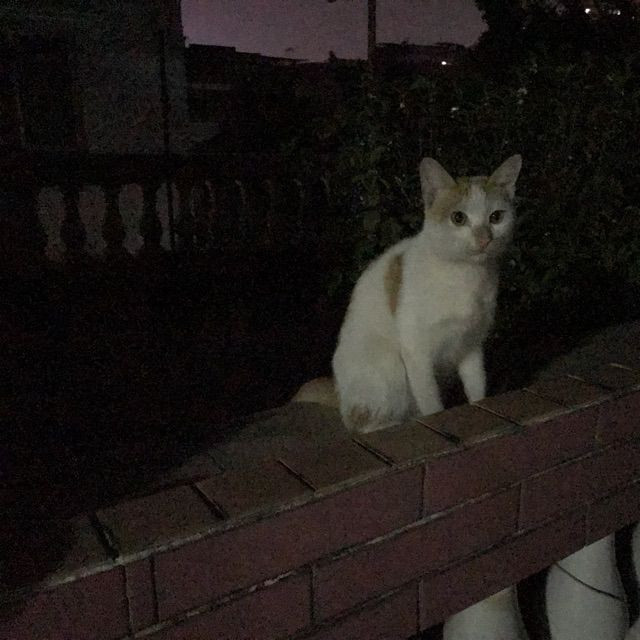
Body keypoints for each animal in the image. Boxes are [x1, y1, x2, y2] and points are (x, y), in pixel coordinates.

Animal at [302, 155, 522, 433]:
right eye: (458, 218)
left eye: (496, 217)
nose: (484, 239)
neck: (465, 275)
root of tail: (341, 399)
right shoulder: (416, 350)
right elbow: (431, 403)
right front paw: (435, 417)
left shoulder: (471, 344)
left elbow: (477, 387)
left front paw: (480, 403)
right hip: (390, 367)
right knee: (363, 424)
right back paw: (391, 422)